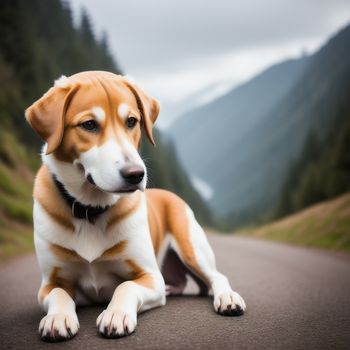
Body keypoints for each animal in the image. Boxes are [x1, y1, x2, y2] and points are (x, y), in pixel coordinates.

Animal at [25, 71, 246, 342]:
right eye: (89, 125)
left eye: (131, 121)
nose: (136, 174)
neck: (91, 210)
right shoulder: (50, 282)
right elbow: (59, 294)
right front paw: (57, 317)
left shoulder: (150, 277)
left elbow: (126, 285)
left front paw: (116, 314)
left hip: (192, 249)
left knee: (217, 276)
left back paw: (228, 298)